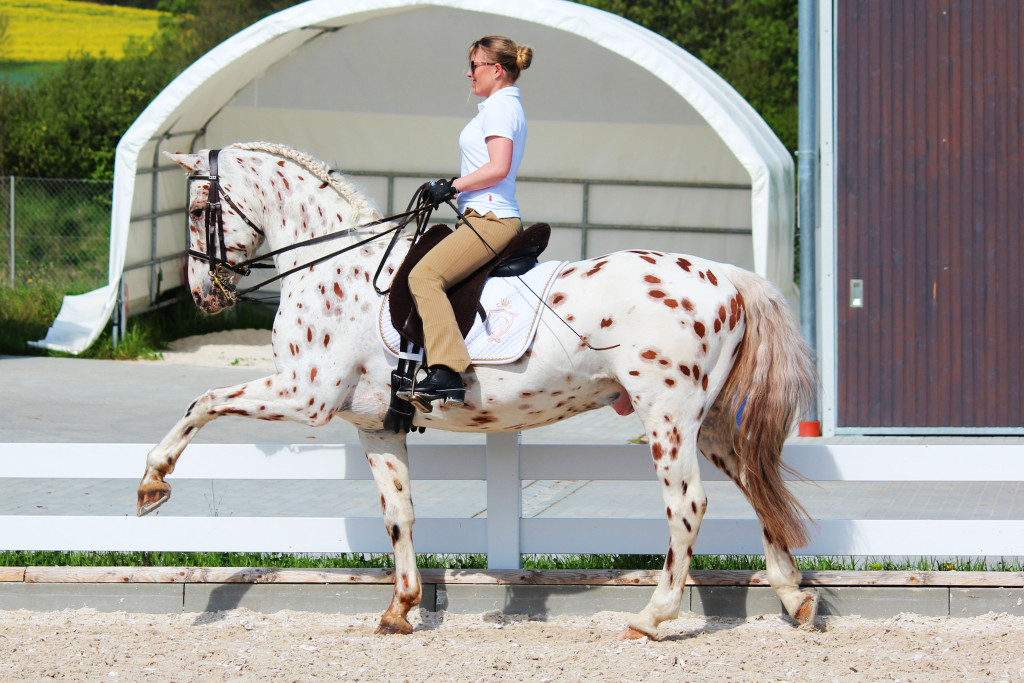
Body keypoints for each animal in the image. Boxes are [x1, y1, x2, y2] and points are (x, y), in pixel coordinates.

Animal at [140, 141, 819, 638]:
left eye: (197, 212)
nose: (203, 294)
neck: (336, 267)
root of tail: (725, 276)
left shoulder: (306, 396)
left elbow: (203, 402)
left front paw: (153, 481)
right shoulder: (375, 425)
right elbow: (399, 514)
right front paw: (401, 609)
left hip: (667, 414)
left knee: (687, 505)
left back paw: (653, 618)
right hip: (711, 422)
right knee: (757, 484)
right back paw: (794, 598)